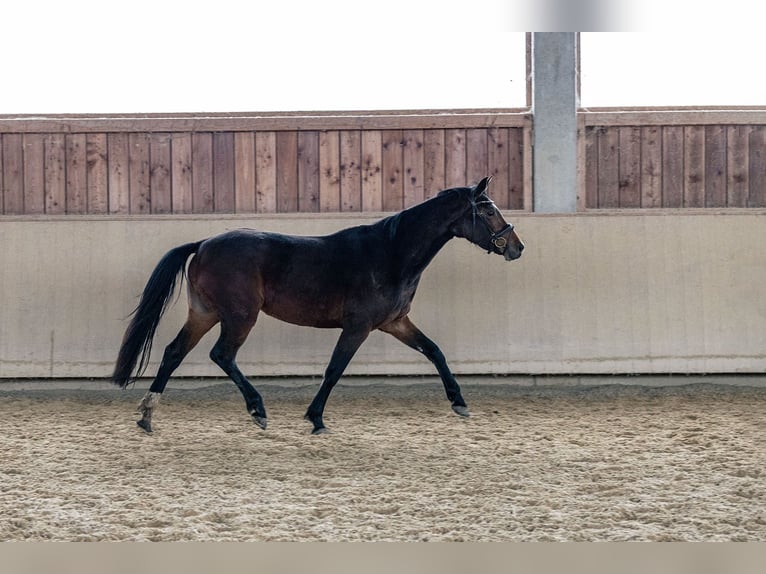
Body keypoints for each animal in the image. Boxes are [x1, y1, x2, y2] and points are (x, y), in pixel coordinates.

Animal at [111, 178, 524, 434]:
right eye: (488, 211)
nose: (517, 247)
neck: (391, 253)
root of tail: (204, 243)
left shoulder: (395, 322)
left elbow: (435, 351)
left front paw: (460, 403)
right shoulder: (358, 327)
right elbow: (334, 369)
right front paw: (316, 419)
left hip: (205, 313)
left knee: (173, 352)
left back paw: (147, 416)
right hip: (240, 316)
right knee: (221, 355)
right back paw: (257, 410)